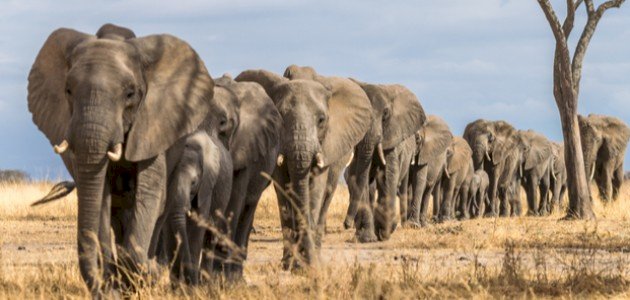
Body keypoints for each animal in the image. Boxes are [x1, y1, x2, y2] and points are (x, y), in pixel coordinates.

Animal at [27, 24, 215, 296]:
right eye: (68, 91)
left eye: (130, 94)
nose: (100, 289)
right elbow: (99, 198)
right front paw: (114, 288)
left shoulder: (153, 125)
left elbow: (150, 193)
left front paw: (147, 274)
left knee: (161, 208)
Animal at [158, 131, 235, 284]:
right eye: (168, 179)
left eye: (193, 182)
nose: (187, 280)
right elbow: (169, 228)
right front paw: (175, 285)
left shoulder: (206, 185)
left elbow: (197, 225)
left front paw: (191, 285)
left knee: (210, 236)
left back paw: (205, 282)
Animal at [204, 74, 282, 278]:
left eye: (224, 123)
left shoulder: (247, 146)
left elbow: (234, 201)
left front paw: (222, 276)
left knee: (247, 209)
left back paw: (236, 275)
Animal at [237, 68, 376, 270]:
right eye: (279, 117)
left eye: (321, 120)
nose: (307, 265)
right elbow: (284, 191)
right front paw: (289, 264)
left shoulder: (327, 145)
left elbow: (316, 189)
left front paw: (307, 264)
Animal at [346, 79, 430, 241]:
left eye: (385, 114)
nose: (346, 225)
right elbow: (361, 177)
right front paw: (368, 238)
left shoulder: (393, 137)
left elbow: (386, 175)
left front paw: (384, 230)